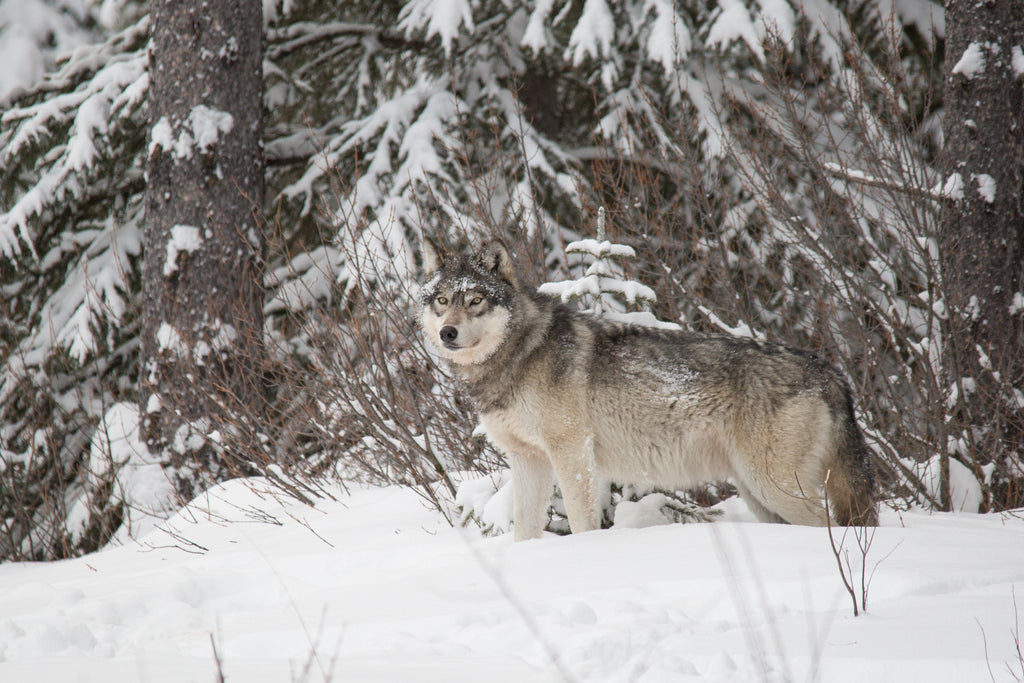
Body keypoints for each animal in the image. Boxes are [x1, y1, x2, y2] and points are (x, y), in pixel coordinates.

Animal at [418, 239, 877, 540]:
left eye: (475, 301)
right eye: (441, 300)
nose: (447, 333)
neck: (520, 353)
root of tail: (830, 371)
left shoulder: (572, 452)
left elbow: (582, 521)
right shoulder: (528, 460)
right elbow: (524, 530)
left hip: (774, 487)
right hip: (758, 495)